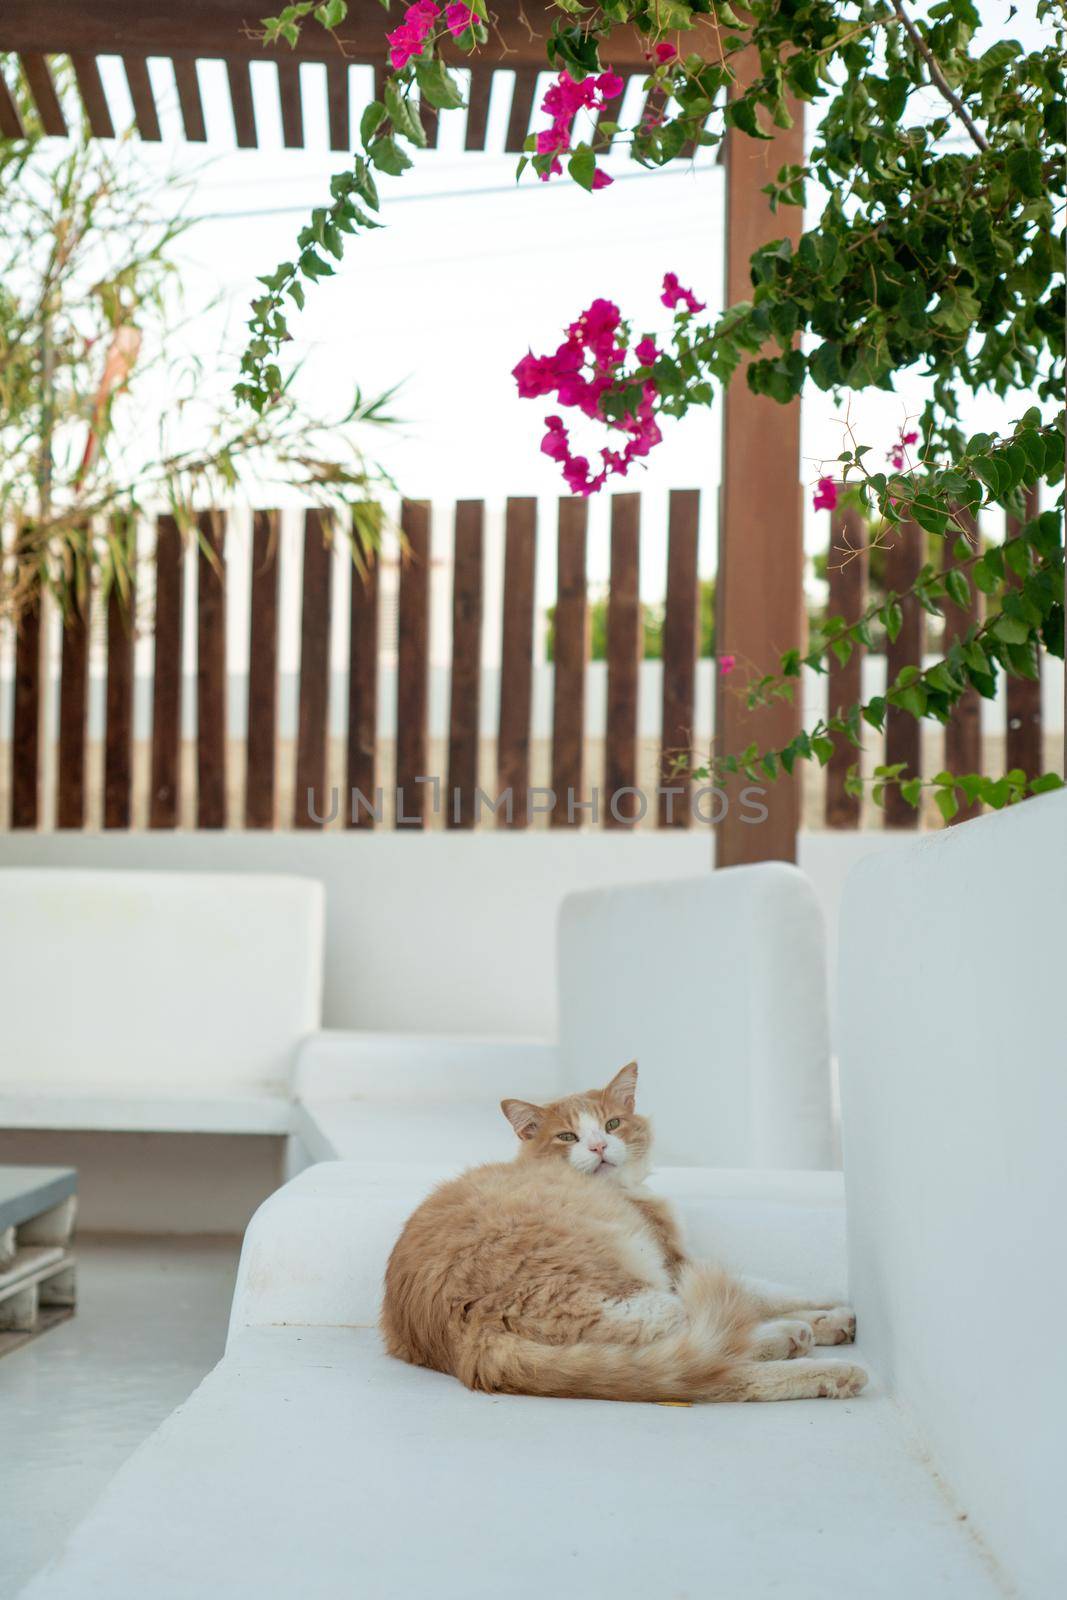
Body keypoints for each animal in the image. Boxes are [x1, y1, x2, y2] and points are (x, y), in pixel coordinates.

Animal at [383, 1068, 870, 1408]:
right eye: (568, 1136)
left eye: (613, 1124)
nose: (599, 1147)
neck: (623, 1189)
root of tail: (465, 1336)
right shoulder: (676, 1264)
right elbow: (767, 1291)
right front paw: (830, 1307)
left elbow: (763, 1295)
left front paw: (832, 1320)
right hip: (641, 1298)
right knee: (714, 1365)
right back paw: (813, 1356)